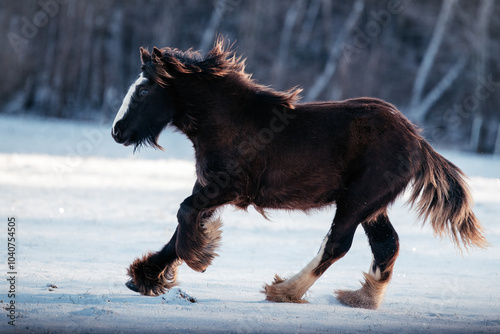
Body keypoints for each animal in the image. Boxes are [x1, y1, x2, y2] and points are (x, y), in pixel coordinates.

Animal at [110, 37, 488, 310]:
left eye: (144, 89)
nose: (117, 131)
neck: (230, 121)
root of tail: (418, 141)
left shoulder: (228, 188)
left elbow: (184, 213)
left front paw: (198, 258)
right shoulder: (208, 185)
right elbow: (181, 225)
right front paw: (144, 277)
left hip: (357, 201)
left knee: (338, 244)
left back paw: (284, 290)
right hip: (372, 207)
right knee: (386, 246)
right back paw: (360, 298)